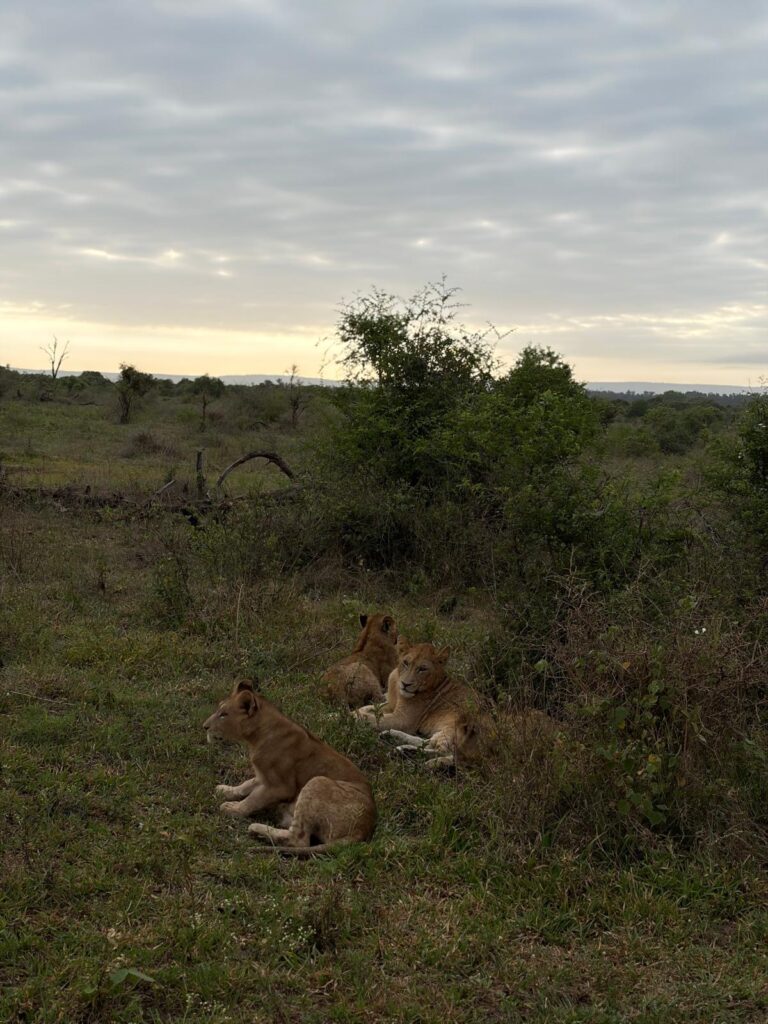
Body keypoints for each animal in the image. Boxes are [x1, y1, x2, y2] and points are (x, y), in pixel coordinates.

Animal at [204, 679, 376, 856]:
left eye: (223, 714)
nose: (205, 727)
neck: (257, 736)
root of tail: (364, 829)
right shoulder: (263, 776)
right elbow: (247, 784)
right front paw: (225, 790)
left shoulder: (281, 787)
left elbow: (253, 799)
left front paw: (233, 808)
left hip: (317, 781)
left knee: (299, 840)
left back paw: (257, 829)